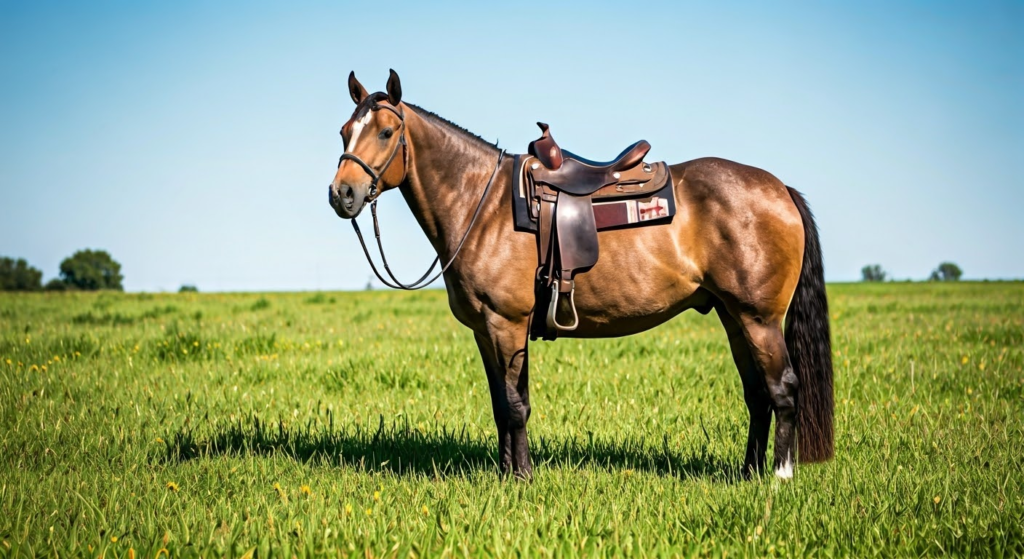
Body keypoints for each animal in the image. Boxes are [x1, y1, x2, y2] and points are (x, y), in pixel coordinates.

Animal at [327, 69, 831, 479]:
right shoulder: (485, 331)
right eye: (345, 132)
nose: (341, 194)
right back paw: (749, 474)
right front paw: (505, 475)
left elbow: (515, 406)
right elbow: (501, 405)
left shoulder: (506, 324)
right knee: (757, 394)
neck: (481, 206)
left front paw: (522, 479)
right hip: (732, 316)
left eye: (387, 131)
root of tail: (779, 189)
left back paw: (780, 477)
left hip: (759, 319)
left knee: (783, 389)